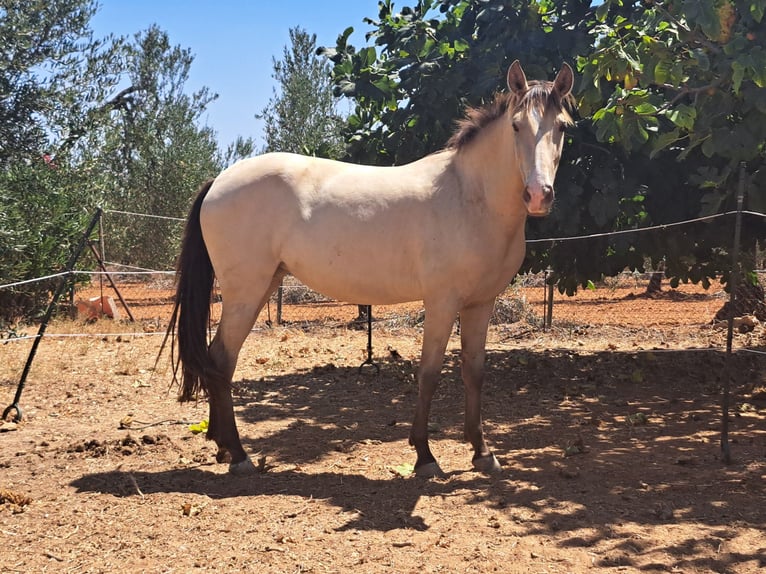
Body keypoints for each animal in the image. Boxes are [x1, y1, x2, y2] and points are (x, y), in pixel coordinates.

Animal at [170, 60, 576, 480]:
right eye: (516, 126)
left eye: (562, 127)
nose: (538, 195)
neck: (470, 196)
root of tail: (219, 180)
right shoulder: (442, 303)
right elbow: (429, 373)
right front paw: (424, 455)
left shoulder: (481, 304)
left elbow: (473, 372)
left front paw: (482, 453)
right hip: (245, 292)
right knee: (220, 361)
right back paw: (238, 455)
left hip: (263, 286)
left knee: (222, 361)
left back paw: (222, 447)